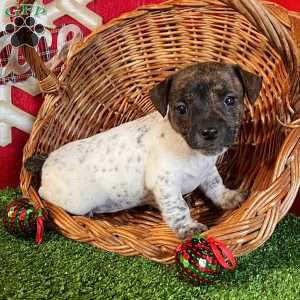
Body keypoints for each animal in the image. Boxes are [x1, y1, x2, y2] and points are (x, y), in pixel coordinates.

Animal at [25, 61, 262, 239]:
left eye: (230, 100)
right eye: (181, 109)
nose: (209, 131)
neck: (190, 152)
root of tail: (48, 160)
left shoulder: (208, 171)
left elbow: (215, 185)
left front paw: (227, 197)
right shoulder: (165, 184)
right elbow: (178, 208)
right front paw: (188, 228)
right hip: (75, 201)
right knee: (44, 194)